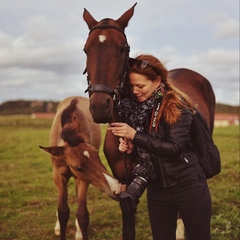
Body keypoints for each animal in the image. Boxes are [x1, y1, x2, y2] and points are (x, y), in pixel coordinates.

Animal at [40, 96, 122, 240]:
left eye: (96, 153)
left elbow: (82, 214)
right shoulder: (59, 176)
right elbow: (63, 211)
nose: (116, 188)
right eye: (78, 167)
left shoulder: (83, 180)